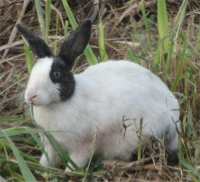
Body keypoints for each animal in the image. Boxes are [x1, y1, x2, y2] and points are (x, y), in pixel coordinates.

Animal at [16, 19, 180, 172]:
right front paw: (42, 169)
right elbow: (48, 158)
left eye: (56, 74)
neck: (58, 104)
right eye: (34, 70)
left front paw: (69, 173)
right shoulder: (51, 144)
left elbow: (76, 162)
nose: (30, 95)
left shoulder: (84, 145)